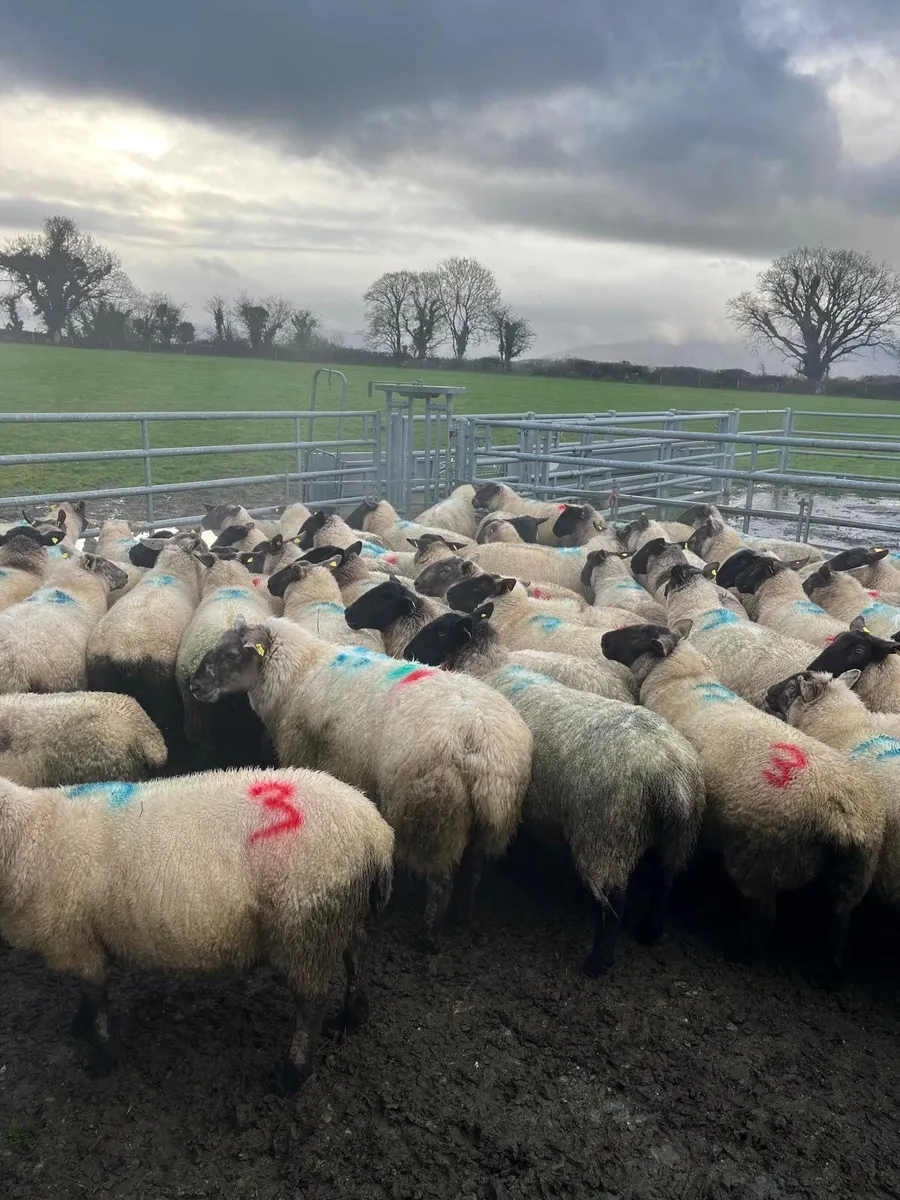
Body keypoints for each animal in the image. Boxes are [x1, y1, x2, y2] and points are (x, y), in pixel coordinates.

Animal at [0, 766, 393, 1091]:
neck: (29, 836)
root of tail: (374, 828)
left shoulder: (76, 937)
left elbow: (97, 998)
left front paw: (102, 1056)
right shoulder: (84, 939)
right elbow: (88, 993)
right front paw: (80, 1025)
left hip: (303, 923)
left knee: (312, 1002)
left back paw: (294, 1074)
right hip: (335, 913)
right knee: (356, 953)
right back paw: (353, 1016)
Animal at [190, 616, 532, 944]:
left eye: (232, 654)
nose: (195, 686)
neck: (299, 674)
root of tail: (482, 740)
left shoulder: (306, 752)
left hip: (435, 812)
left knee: (441, 881)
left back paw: (428, 934)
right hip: (484, 819)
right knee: (474, 870)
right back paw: (462, 914)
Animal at [403, 606, 705, 974]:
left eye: (441, 631)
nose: (407, 653)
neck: (488, 668)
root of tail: (672, 776)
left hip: (608, 834)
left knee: (612, 903)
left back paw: (597, 964)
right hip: (677, 837)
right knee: (664, 884)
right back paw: (648, 934)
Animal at [601, 621, 884, 978]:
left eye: (640, 634)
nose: (603, 640)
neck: (681, 679)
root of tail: (843, 818)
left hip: (762, 858)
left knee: (765, 916)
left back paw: (738, 953)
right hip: (852, 878)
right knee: (839, 924)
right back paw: (828, 976)